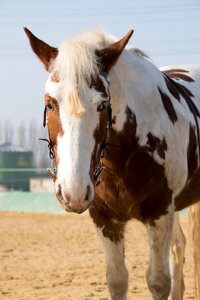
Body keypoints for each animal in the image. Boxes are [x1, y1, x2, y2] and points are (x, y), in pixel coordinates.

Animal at [23, 27, 200, 298]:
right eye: (50, 103)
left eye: (102, 105)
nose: (74, 193)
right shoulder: (104, 218)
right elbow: (117, 279)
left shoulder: (159, 212)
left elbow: (158, 281)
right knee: (178, 247)